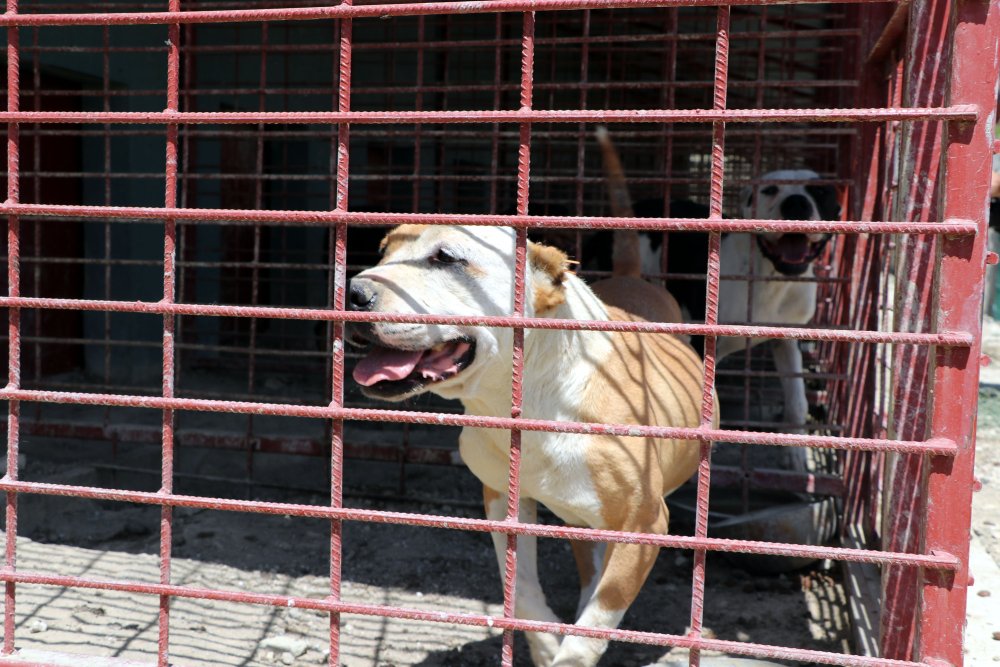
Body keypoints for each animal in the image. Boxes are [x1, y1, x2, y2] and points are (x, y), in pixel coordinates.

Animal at [348, 226, 708, 667]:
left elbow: (596, 623)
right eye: (384, 250)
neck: (524, 403)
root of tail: (631, 277)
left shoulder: (644, 524)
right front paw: (546, 644)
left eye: (446, 258)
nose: (353, 292)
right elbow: (519, 588)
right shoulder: (504, 503)